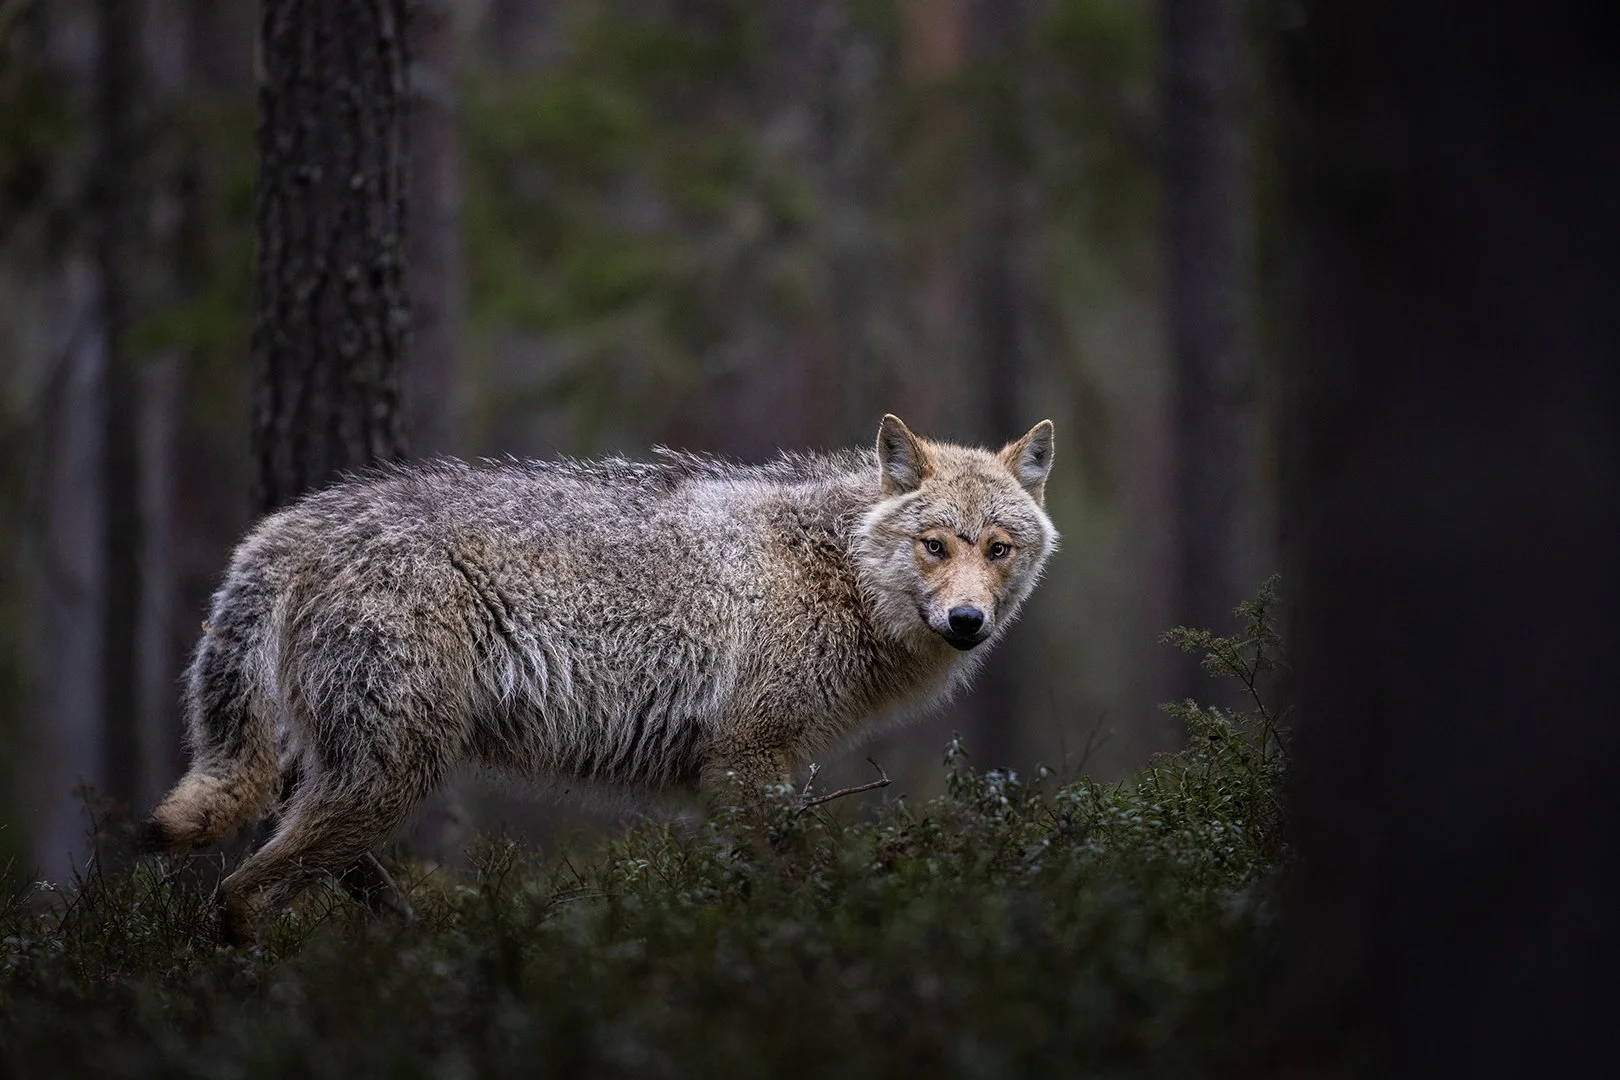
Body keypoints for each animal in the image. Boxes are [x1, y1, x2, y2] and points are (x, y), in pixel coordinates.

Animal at [139, 414, 1058, 938]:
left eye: (997, 549)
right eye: (935, 544)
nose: (967, 622)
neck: (834, 568)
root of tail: (299, 520)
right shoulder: (744, 764)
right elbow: (791, 882)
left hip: (356, 778)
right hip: (390, 776)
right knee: (241, 890)